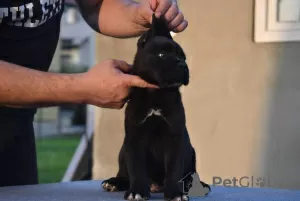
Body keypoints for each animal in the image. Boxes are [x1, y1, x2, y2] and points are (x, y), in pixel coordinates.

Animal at [102, 14, 210, 201]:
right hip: (123, 151)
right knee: (125, 173)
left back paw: (196, 185)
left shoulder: (174, 138)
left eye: (184, 57)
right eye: (162, 54)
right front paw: (137, 191)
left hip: (191, 153)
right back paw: (115, 182)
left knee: (190, 173)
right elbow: (136, 168)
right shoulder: (135, 139)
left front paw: (175, 194)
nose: (182, 65)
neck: (156, 93)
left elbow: (173, 169)